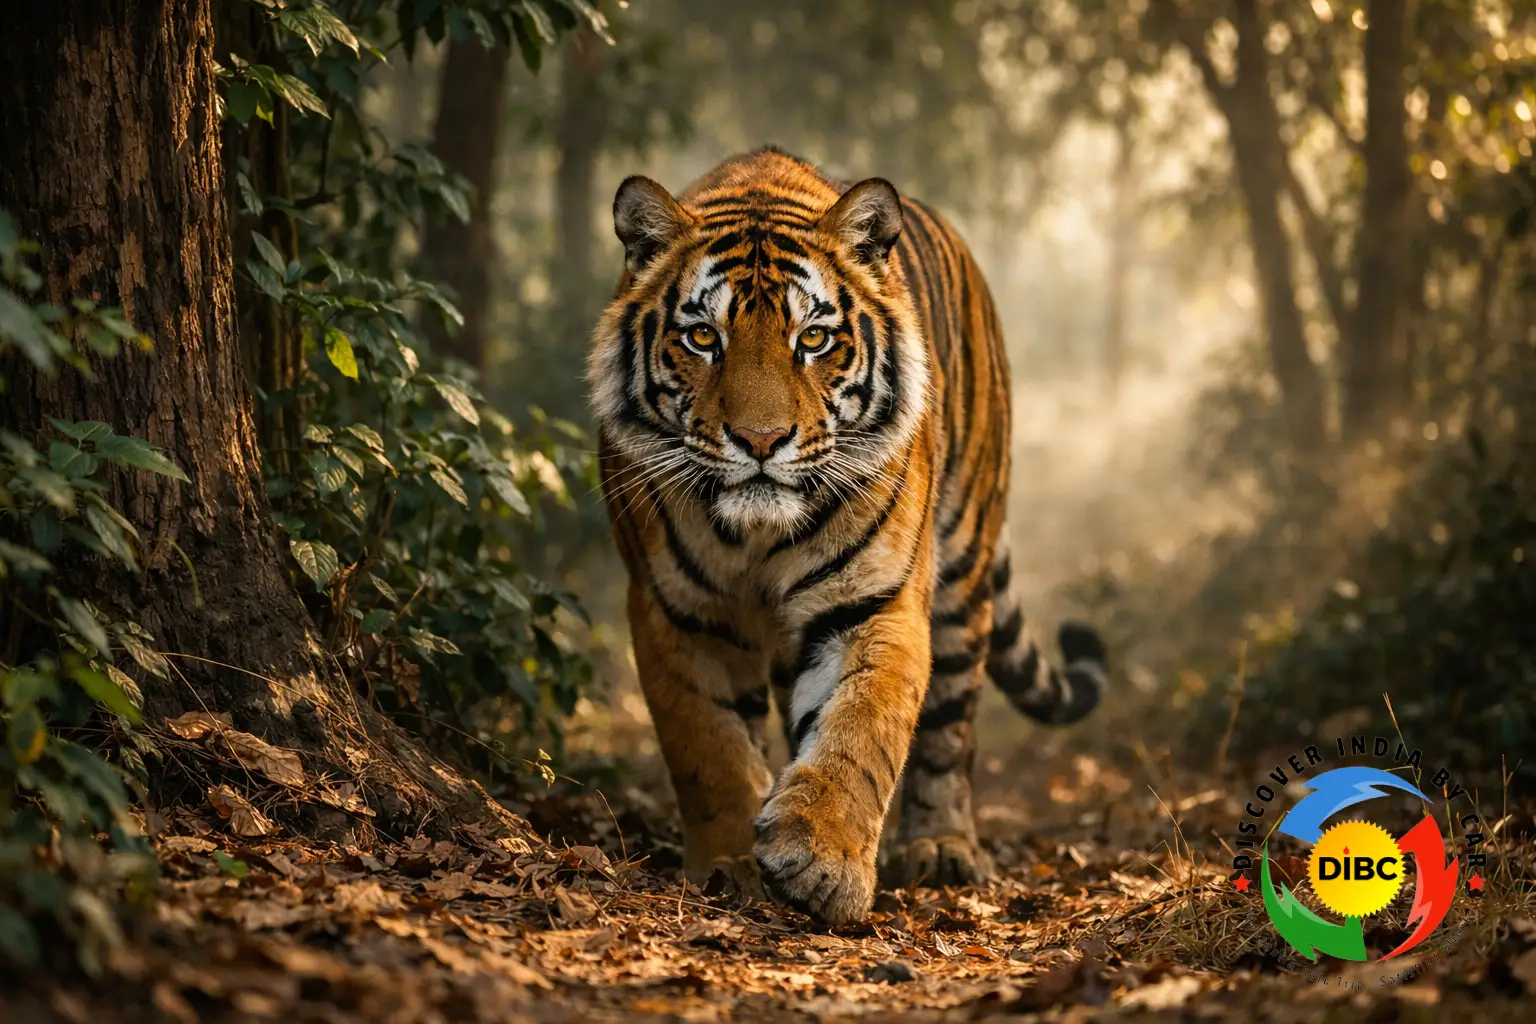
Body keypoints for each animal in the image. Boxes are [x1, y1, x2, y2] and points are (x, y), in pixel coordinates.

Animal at [588, 146, 1108, 925]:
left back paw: (943, 848)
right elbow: (707, 745)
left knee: (951, 729)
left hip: (964, 569)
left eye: (814, 338)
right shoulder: (673, 609)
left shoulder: (872, 600)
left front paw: (820, 860)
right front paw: (729, 865)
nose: (760, 440)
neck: (756, 537)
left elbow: (861, 729)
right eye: (703, 336)